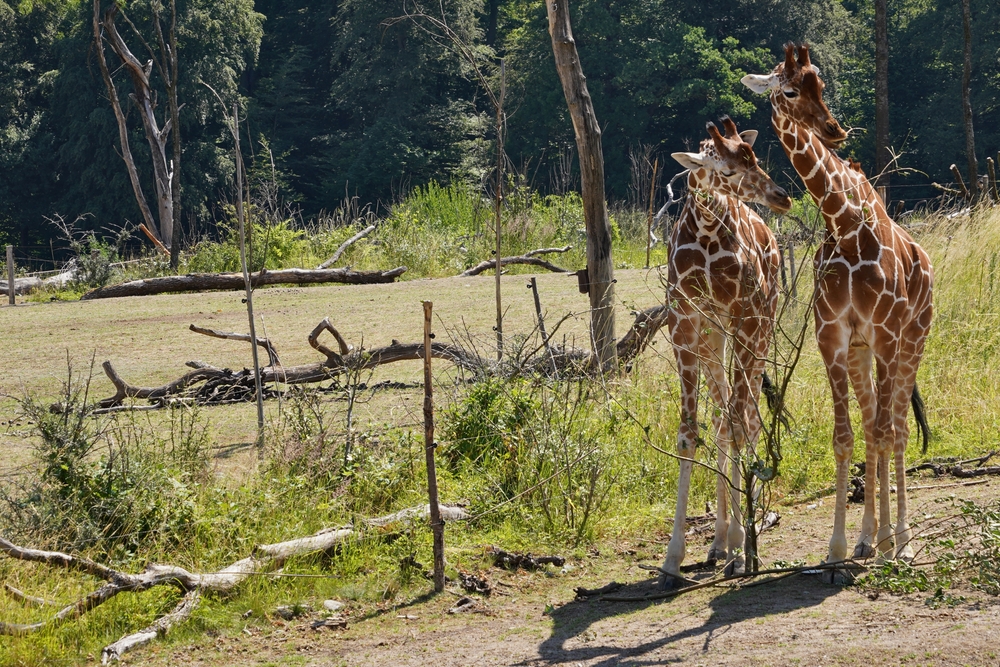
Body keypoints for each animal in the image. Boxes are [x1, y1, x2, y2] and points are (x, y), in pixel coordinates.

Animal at [661, 117, 791, 586]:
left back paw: (740, 541)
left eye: (755, 156)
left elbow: (740, 424)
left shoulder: (745, 315)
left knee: (746, 418)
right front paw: (672, 560)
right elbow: (689, 432)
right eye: (728, 170)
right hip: (713, 338)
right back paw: (718, 541)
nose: (782, 196)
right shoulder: (684, 321)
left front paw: (740, 551)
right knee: (722, 417)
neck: (704, 229)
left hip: (760, 328)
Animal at [742, 44, 934, 572]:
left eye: (821, 84)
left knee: (898, 428)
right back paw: (873, 540)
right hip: (863, 352)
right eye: (789, 90)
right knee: (873, 427)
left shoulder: (886, 333)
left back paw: (899, 541)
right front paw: (839, 548)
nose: (834, 129)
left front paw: (891, 542)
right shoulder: (834, 337)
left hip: (912, 341)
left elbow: (887, 432)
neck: (844, 224)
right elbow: (846, 437)